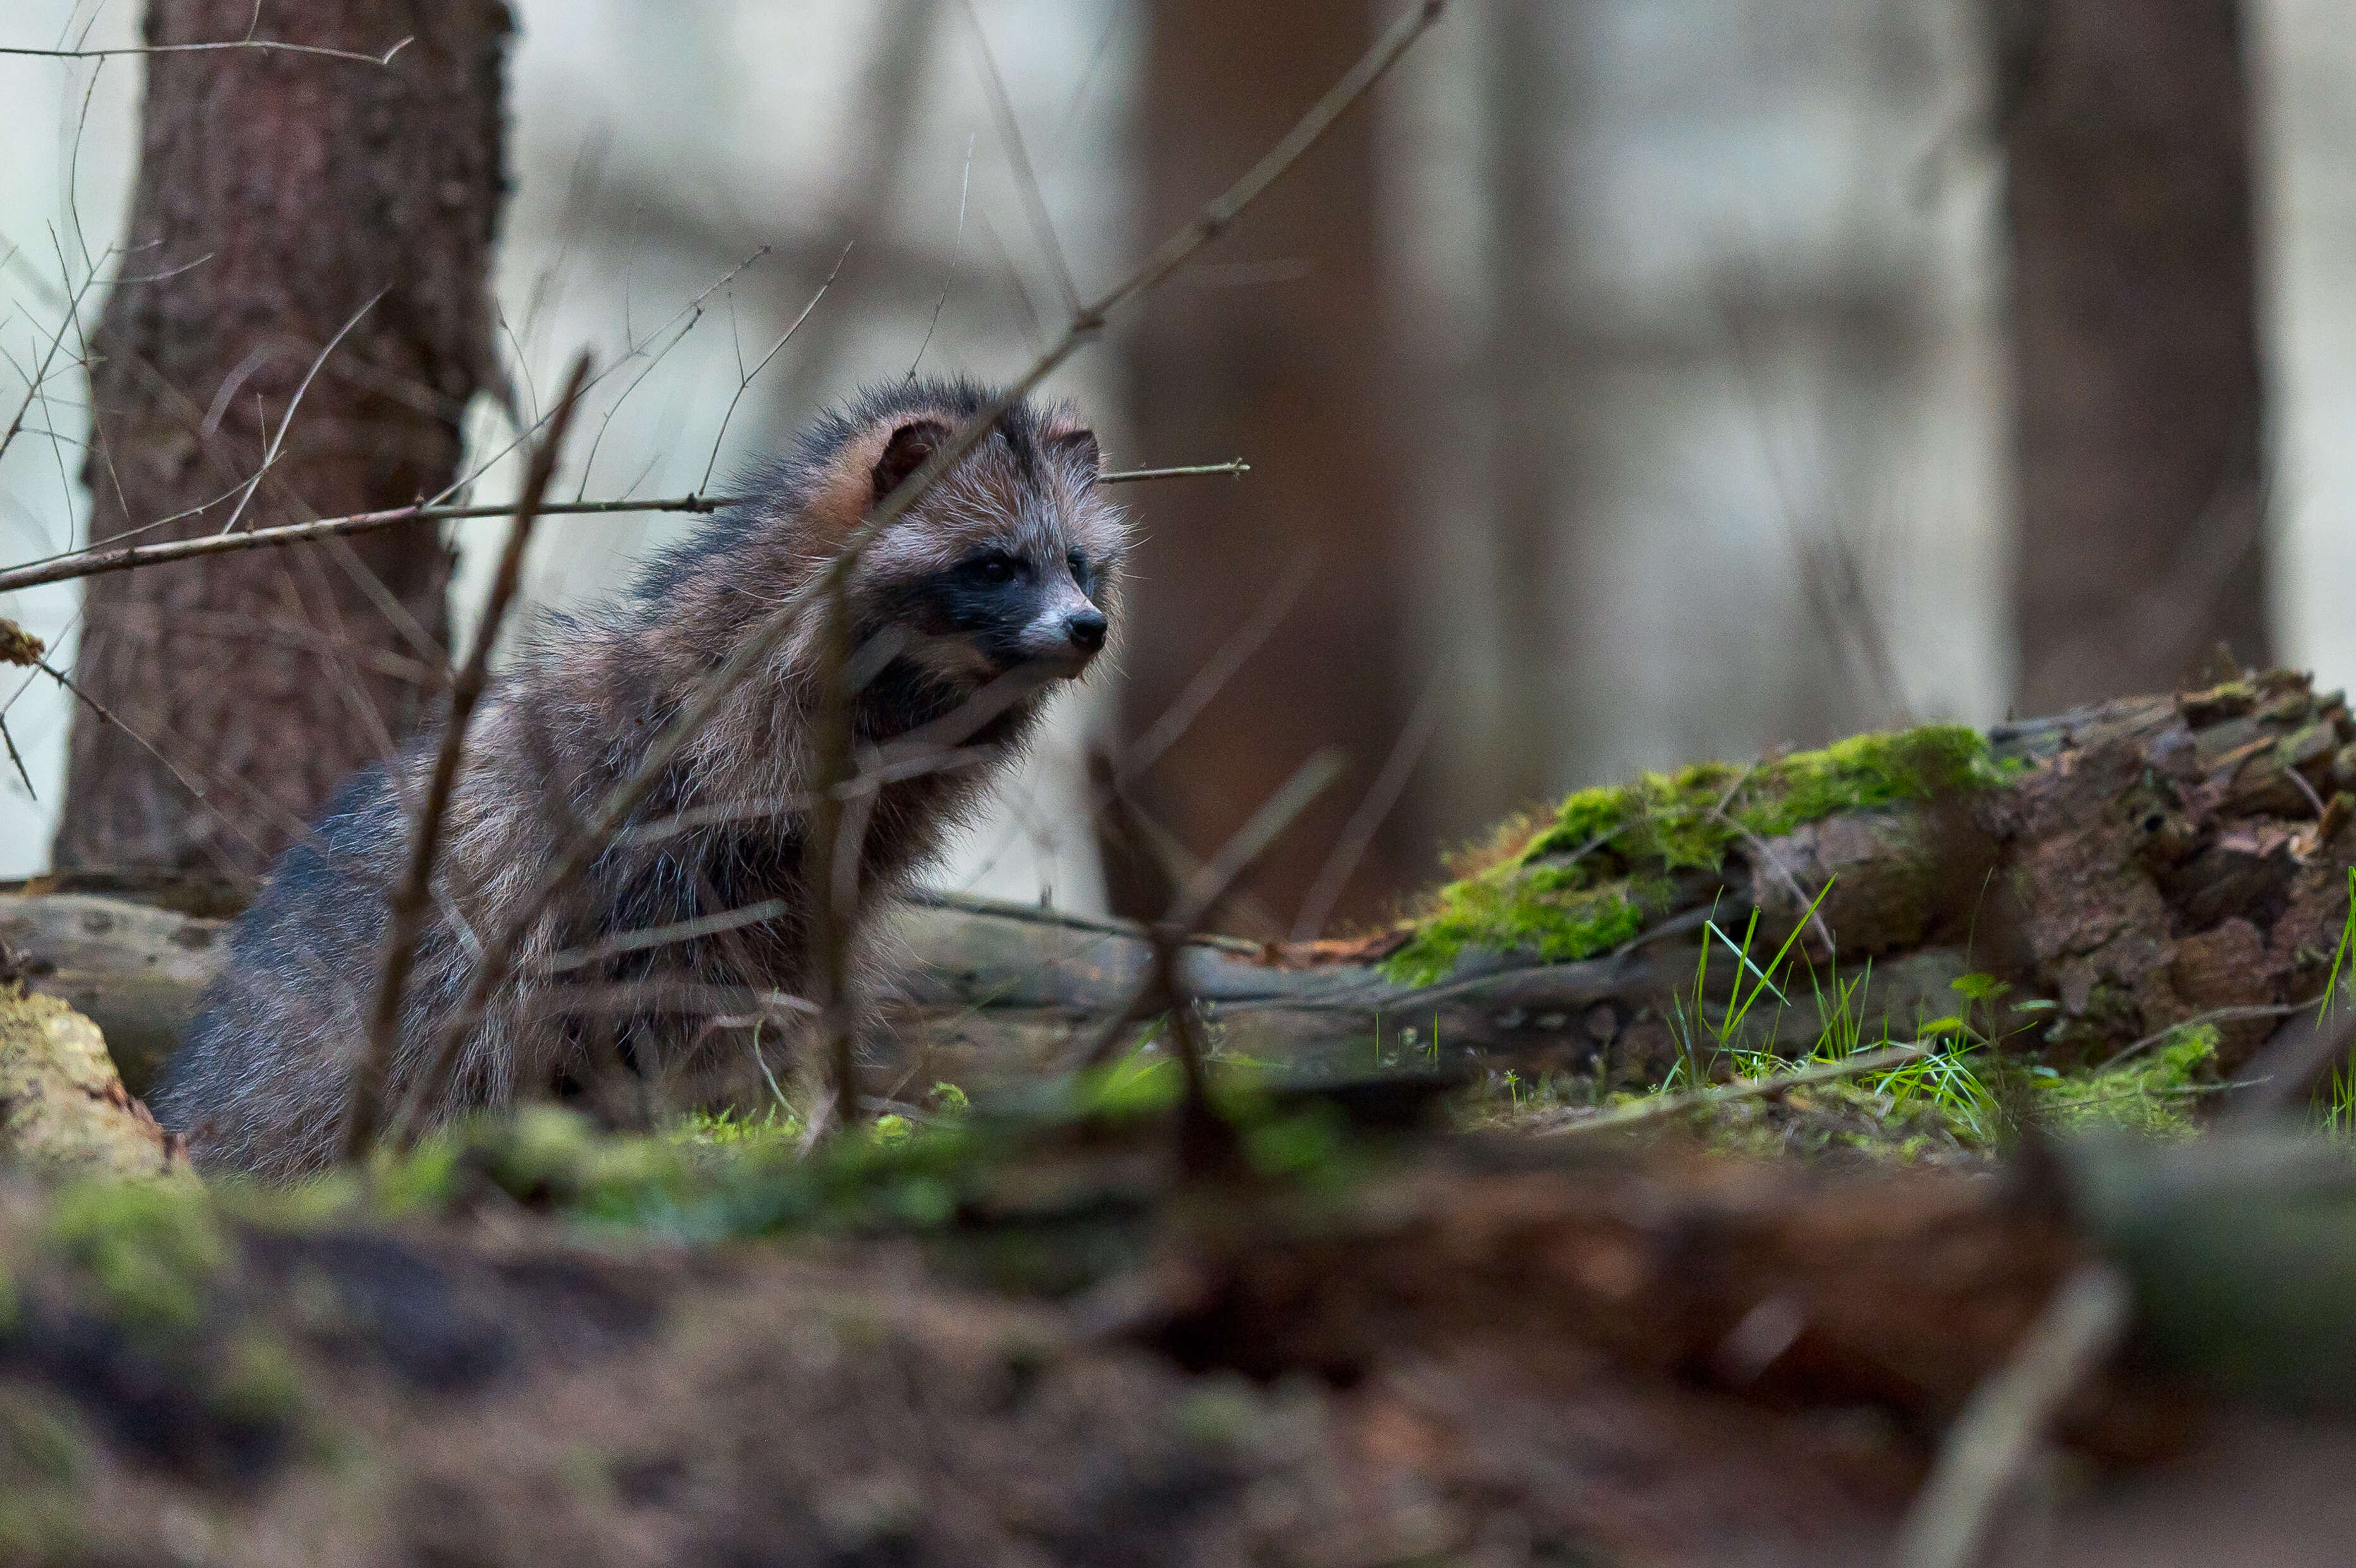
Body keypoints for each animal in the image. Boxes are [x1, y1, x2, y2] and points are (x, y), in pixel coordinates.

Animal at [161, 372, 1126, 1167]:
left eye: (1079, 565)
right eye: (996, 564)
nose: (1087, 627)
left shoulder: (816, 879)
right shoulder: (653, 842)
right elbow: (650, 1007)